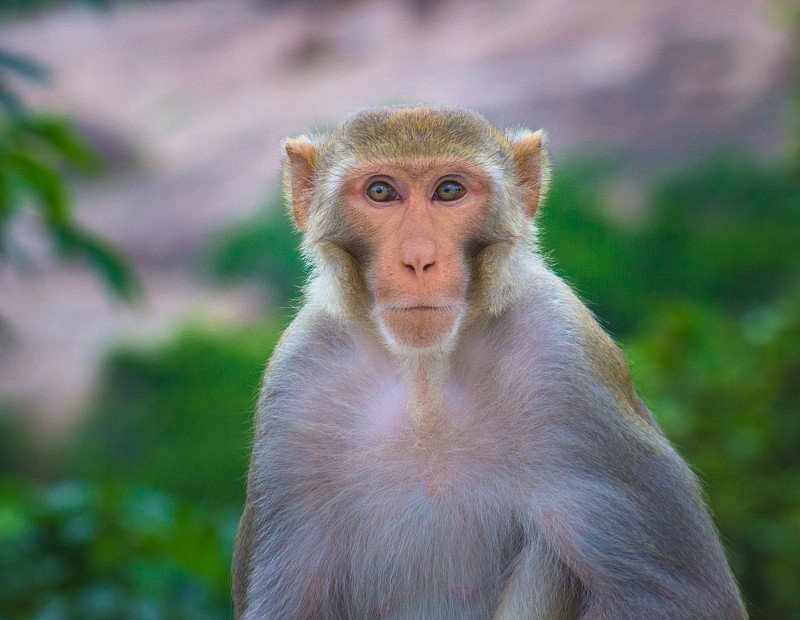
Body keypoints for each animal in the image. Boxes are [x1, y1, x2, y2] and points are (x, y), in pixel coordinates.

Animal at [233, 104, 752, 616]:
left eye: (449, 191)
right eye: (381, 191)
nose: (418, 260)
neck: (425, 374)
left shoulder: (566, 359)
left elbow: (675, 596)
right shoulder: (296, 384)